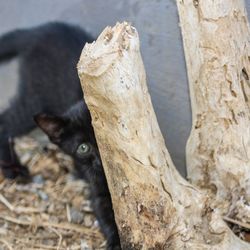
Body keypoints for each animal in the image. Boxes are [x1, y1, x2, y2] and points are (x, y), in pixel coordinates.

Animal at [0, 22, 120, 249]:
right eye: (83, 148)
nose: (101, 160)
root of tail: (40, 29)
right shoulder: (96, 188)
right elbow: (106, 215)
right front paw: (116, 241)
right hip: (33, 99)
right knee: (5, 122)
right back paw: (14, 168)